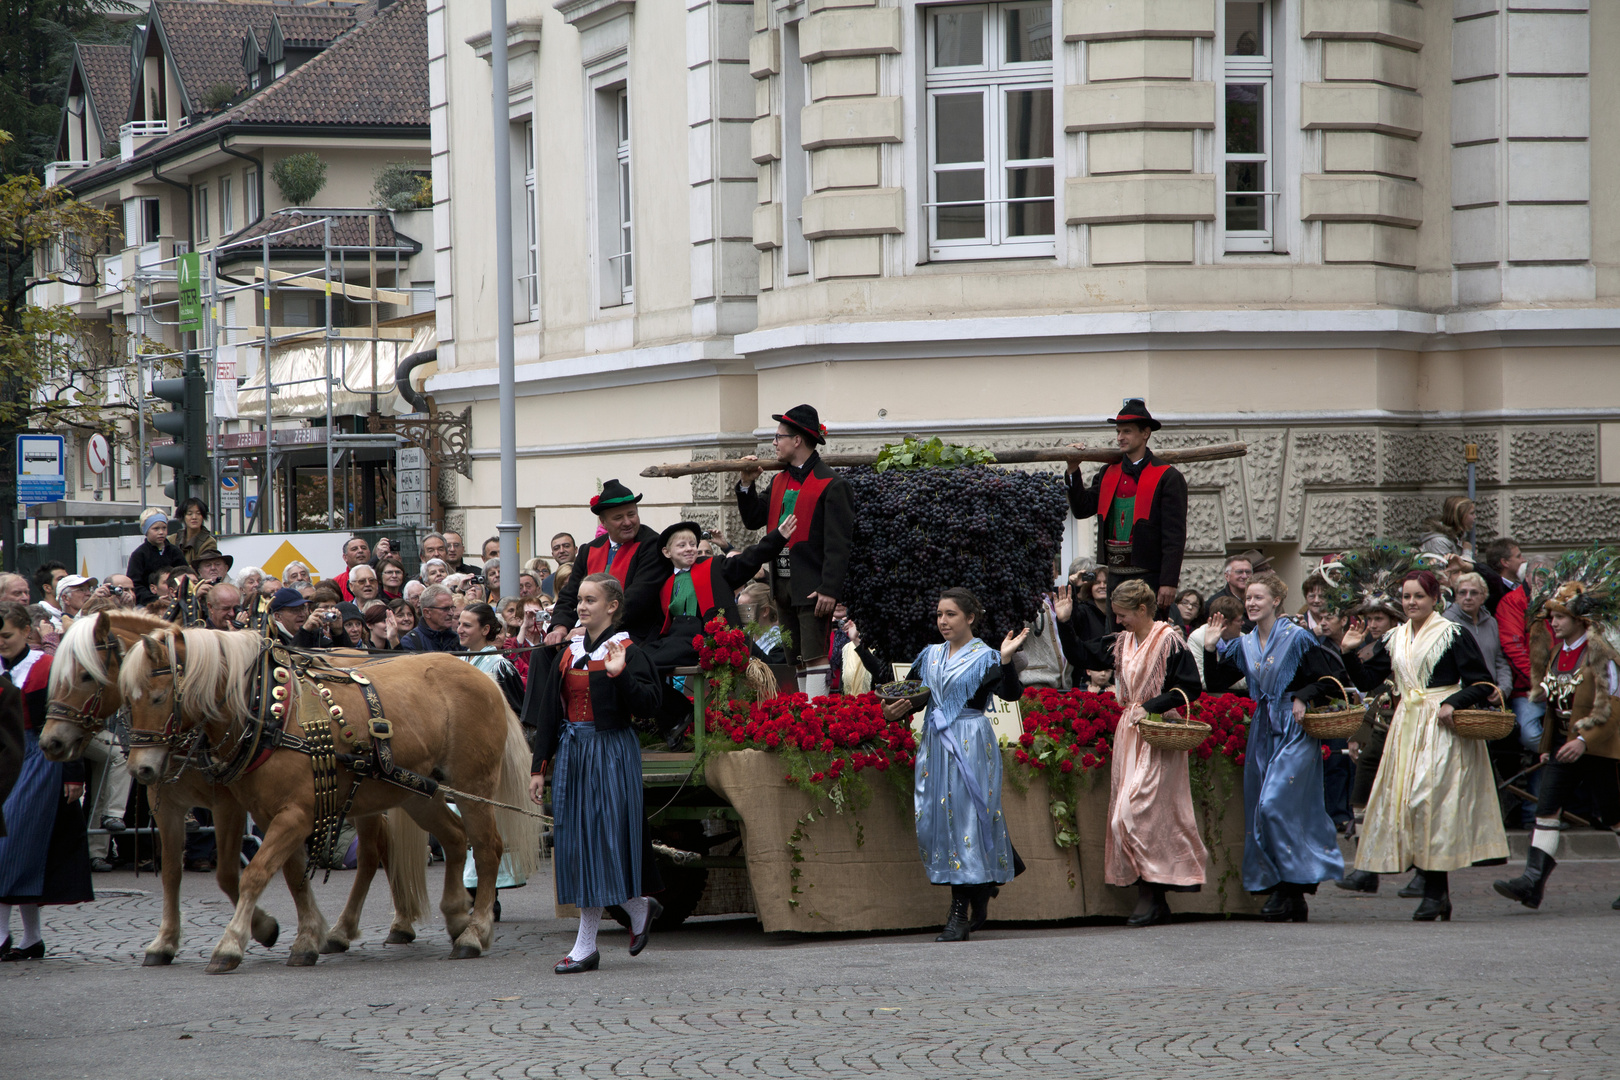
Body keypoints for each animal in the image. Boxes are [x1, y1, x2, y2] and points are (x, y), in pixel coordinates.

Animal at [40, 612, 427, 965]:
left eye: (85, 675)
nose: (50, 743)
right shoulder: (167, 804)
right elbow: (172, 871)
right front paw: (165, 941)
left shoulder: (230, 805)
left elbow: (229, 874)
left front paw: (265, 928)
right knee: (381, 849)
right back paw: (384, 926)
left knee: (373, 853)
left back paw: (360, 927)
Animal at [121, 621, 537, 977]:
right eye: (128, 700)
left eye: (158, 697)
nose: (142, 769)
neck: (268, 712)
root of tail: (483, 677)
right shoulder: (270, 816)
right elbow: (288, 876)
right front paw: (306, 938)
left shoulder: (288, 815)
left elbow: (254, 873)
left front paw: (231, 944)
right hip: (418, 793)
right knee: (451, 838)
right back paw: (453, 917)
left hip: (474, 788)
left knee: (486, 848)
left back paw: (474, 932)